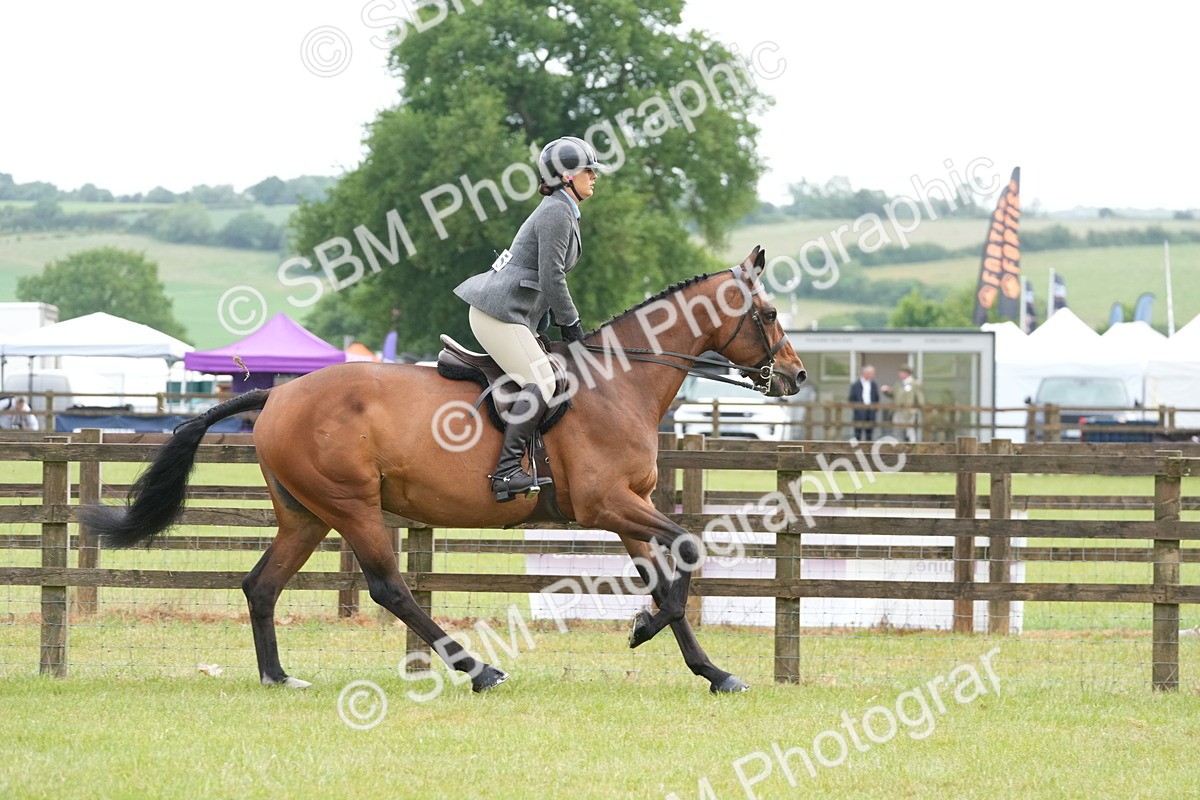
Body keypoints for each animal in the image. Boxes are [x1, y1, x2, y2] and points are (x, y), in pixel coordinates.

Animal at [81, 246, 807, 694]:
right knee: (389, 589)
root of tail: (278, 395)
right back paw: (478, 670)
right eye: (770, 313)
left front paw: (708, 668)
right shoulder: (606, 504)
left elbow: (669, 573)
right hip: (352, 507)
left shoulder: (630, 507)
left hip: (306, 516)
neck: (621, 381)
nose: (796, 376)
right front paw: (645, 629)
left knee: (261, 586)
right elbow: (683, 552)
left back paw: (278, 678)